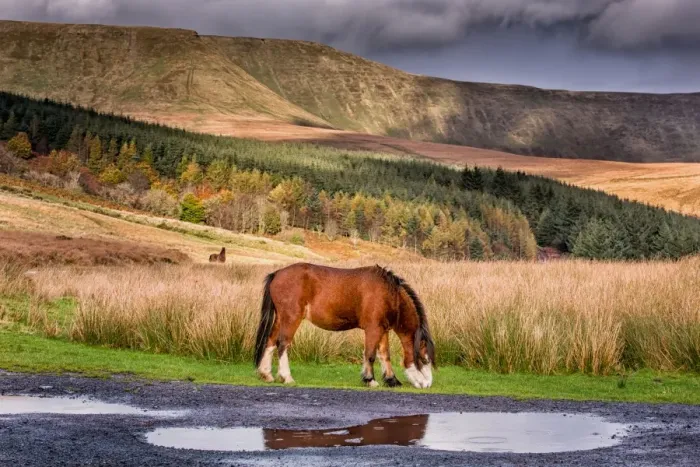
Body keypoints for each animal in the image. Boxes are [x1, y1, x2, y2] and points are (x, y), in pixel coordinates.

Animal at [254, 263, 436, 389]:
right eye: (423, 359)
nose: (427, 384)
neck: (389, 294)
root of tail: (277, 273)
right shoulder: (373, 329)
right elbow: (370, 354)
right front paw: (370, 380)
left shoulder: (383, 330)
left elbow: (385, 355)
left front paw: (392, 380)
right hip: (291, 318)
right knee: (283, 344)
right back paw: (286, 377)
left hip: (280, 318)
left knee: (270, 342)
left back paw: (266, 375)